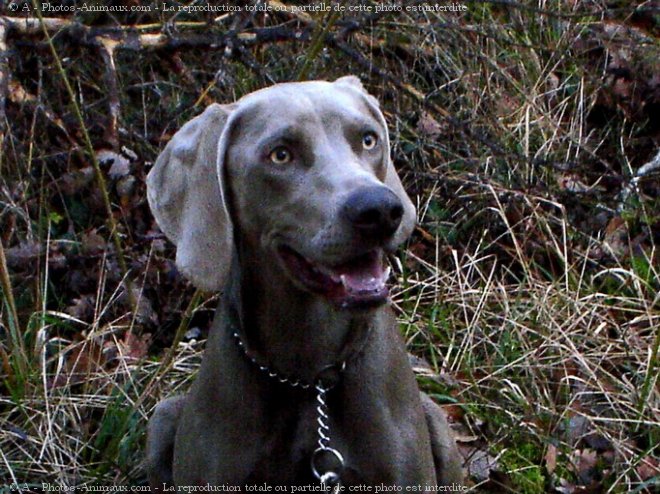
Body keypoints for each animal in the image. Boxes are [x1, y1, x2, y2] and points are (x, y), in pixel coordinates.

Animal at [146, 75, 462, 488]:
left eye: (369, 139)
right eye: (280, 154)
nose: (379, 210)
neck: (311, 377)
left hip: (438, 423)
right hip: (163, 416)